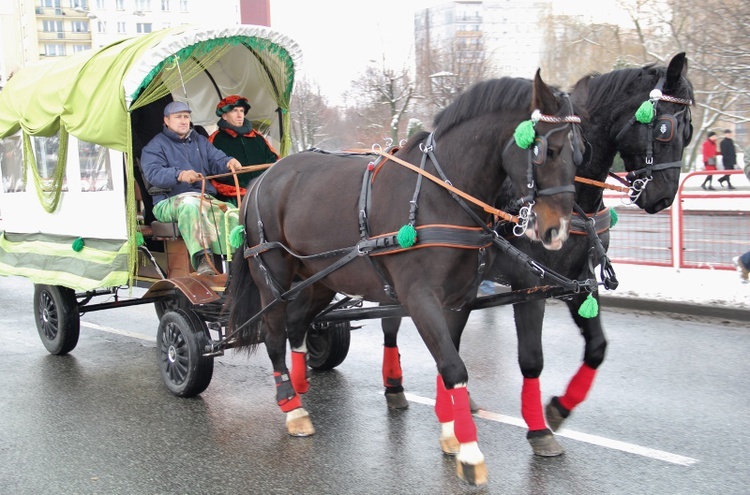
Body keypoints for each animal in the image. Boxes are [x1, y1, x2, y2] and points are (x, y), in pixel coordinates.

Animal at [226, 71, 592, 486]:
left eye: (582, 153)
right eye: (547, 150)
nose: (557, 231)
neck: (440, 194)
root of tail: (262, 179)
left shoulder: (458, 299)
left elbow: (448, 362)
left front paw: (452, 434)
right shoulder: (420, 298)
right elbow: (454, 366)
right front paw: (470, 451)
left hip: (319, 279)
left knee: (297, 324)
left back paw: (300, 385)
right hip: (271, 277)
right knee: (274, 334)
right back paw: (291, 406)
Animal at [378, 51, 696, 458]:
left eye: (689, 131)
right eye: (666, 129)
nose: (663, 198)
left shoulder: (578, 282)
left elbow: (597, 348)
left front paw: (559, 408)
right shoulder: (530, 287)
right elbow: (531, 359)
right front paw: (538, 427)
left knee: (451, 336)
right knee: (392, 326)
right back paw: (395, 386)